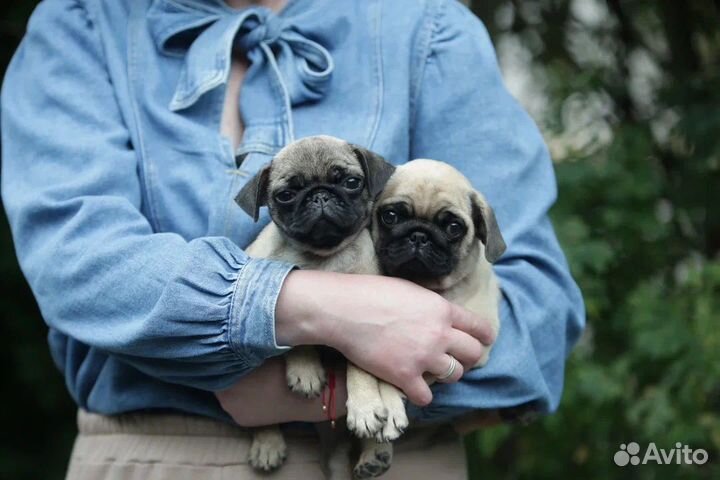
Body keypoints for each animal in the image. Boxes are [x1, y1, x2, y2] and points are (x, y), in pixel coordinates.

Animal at [235, 134, 404, 476]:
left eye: (351, 182)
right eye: (286, 195)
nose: (320, 195)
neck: (324, 258)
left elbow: (361, 369)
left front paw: (365, 407)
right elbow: (298, 339)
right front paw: (306, 370)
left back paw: (376, 450)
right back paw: (267, 443)